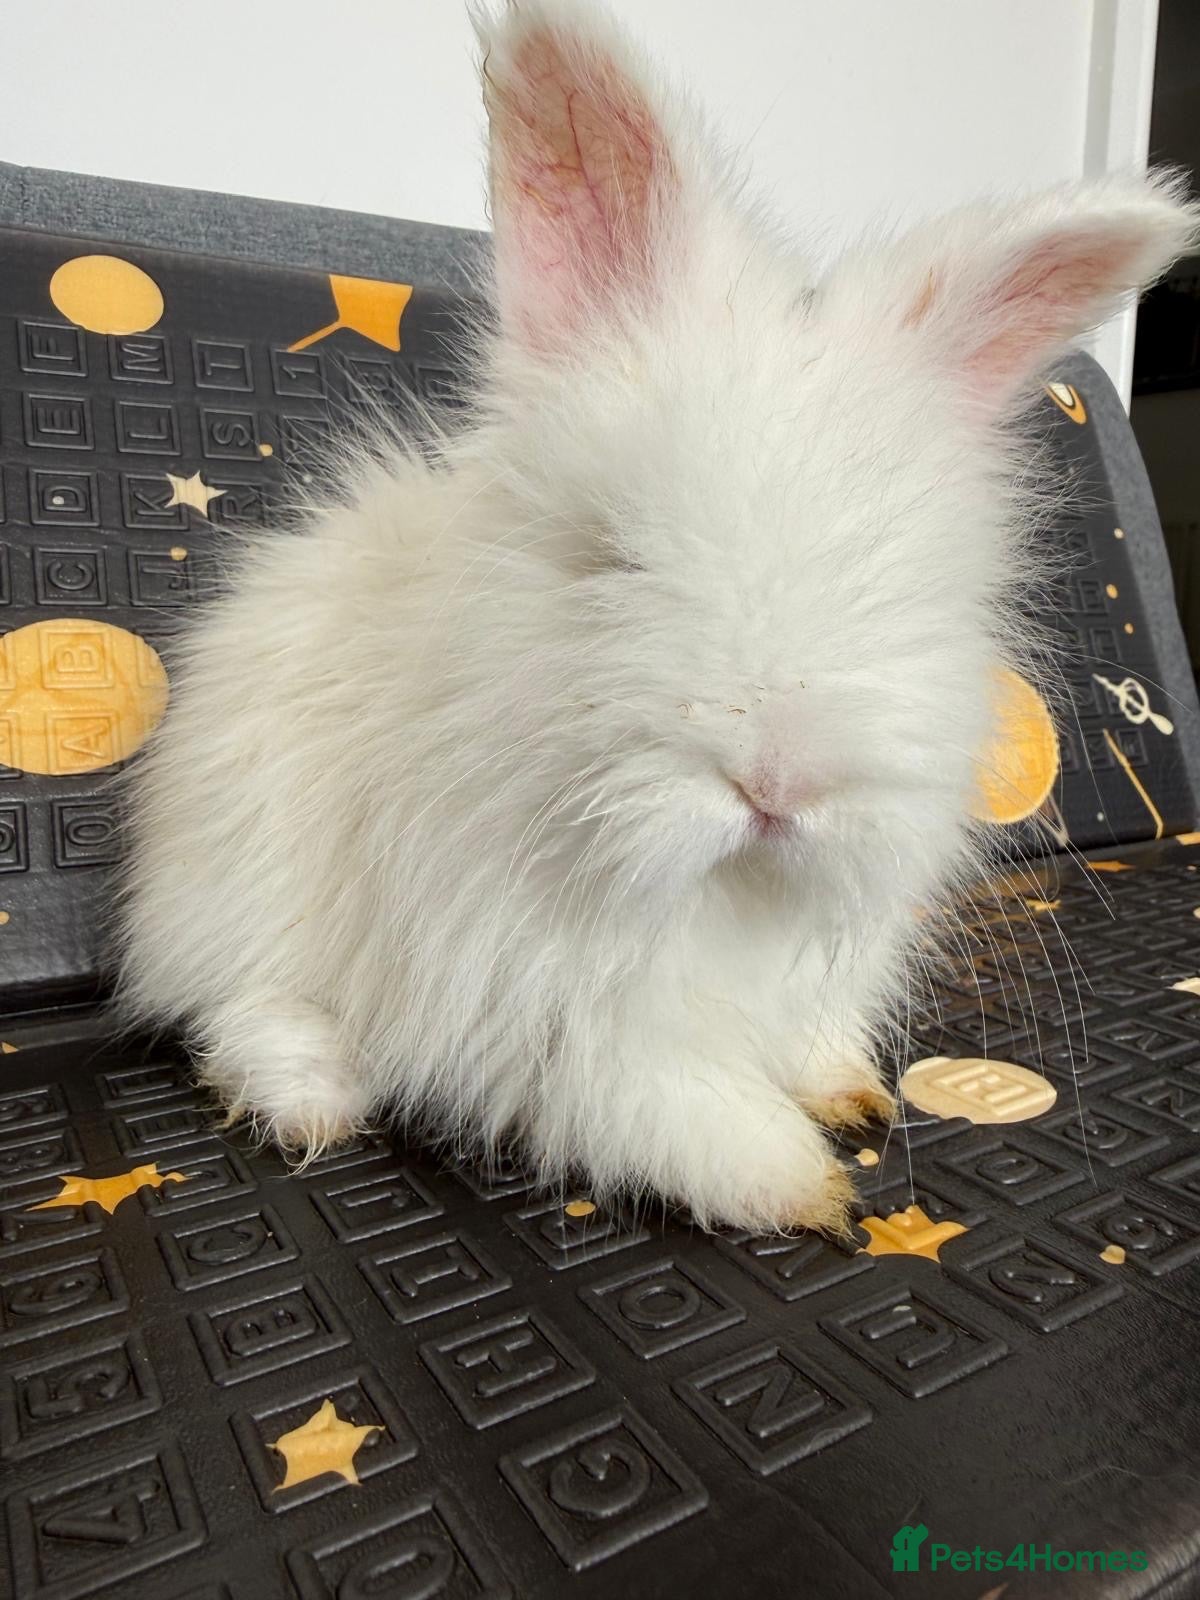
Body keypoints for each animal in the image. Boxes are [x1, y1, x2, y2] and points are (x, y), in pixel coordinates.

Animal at [118, 0, 1198, 1234]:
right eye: (612, 556)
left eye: (910, 593)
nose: (776, 783)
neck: (716, 899)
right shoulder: (535, 1009)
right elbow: (658, 1098)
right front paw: (804, 1184)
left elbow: (808, 1039)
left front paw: (850, 1092)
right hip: (236, 886)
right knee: (237, 1004)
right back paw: (310, 1100)